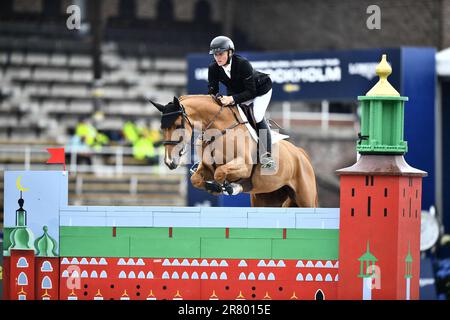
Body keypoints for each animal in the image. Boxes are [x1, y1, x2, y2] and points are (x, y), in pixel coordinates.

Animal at [149, 94, 318, 208]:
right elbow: (196, 179)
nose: (169, 162)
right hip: (267, 198)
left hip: (305, 198)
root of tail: (301, 153)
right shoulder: (207, 167)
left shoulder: (243, 166)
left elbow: (220, 173)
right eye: (162, 128)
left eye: (178, 126)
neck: (219, 129)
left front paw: (222, 187)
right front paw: (216, 187)